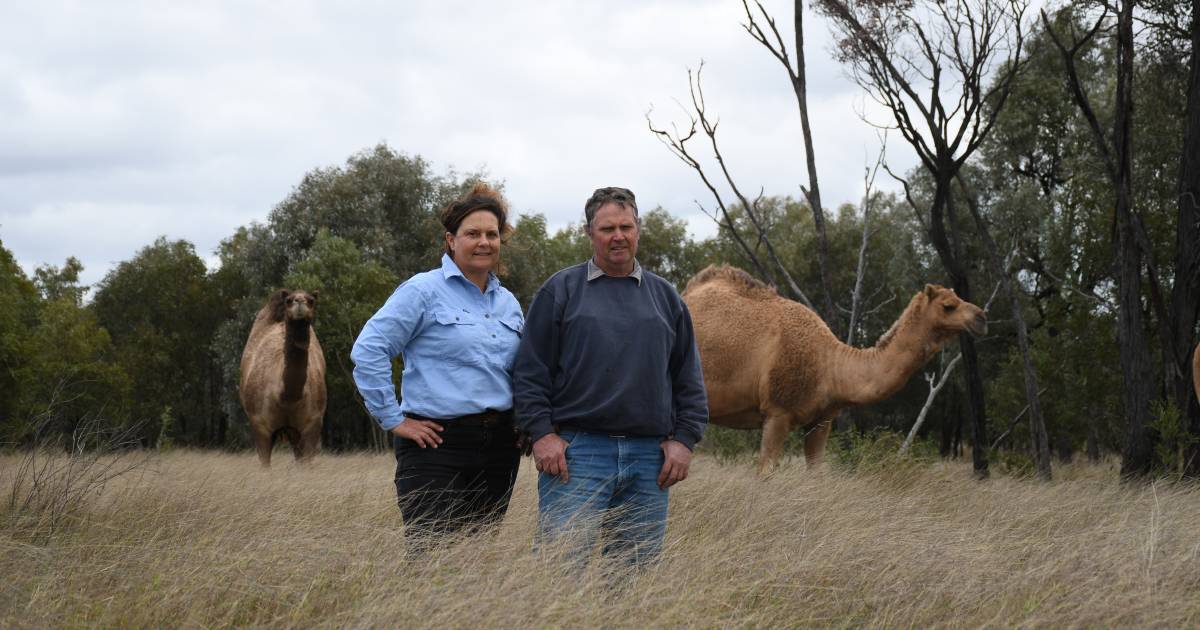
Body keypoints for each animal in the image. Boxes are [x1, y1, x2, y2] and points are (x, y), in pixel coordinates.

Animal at [240, 286, 328, 463]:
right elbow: (265, 464)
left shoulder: (312, 424)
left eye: (312, 300)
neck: (286, 398)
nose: (300, 302)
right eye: (289, 300)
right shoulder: (260, 426)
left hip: (295, 434)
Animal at [681, 262, 988, 475]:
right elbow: (764, 474)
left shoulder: (821, 420)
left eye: (959, 299)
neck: (830, 365)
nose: (981, 318)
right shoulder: (777, 412)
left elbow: (816, 475)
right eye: (948, 306)